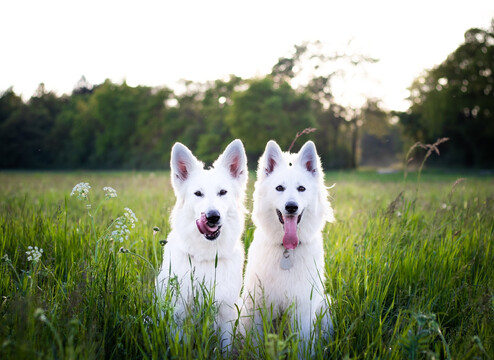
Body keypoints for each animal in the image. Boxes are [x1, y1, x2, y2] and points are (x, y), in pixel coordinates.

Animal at [157, 140, 249, 348]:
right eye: (198, 194)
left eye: (222, 192)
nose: (212, 216)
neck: (206, 258)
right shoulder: (179, 314)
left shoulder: (226, 313)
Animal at [241, 139, 334, 350]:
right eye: (279, 188)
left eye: (301, 189)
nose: (291, 207)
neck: (286, 251)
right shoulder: (258, 305)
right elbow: (257, 342)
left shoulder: (303, 307)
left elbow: (302, 345)